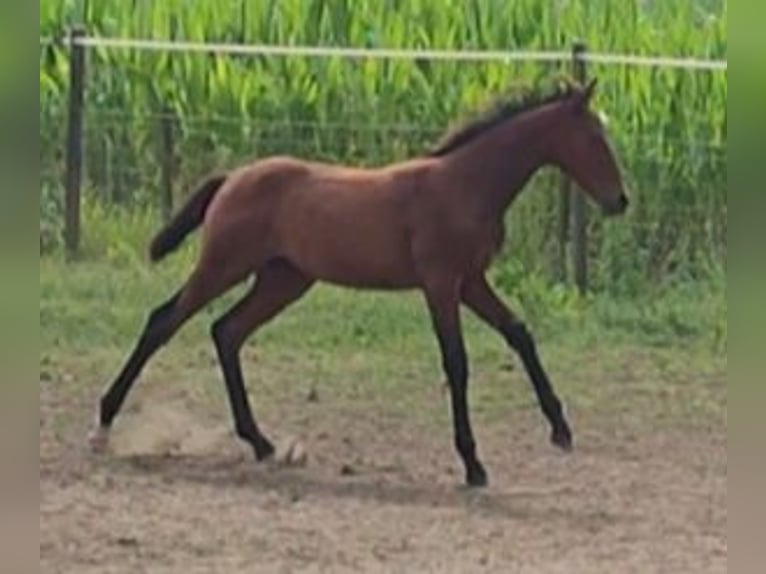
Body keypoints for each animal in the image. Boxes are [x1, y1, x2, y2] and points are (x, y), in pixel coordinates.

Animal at [90, 79, 632, 488]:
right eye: (594, 138)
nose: (620, 201)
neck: (465, 183)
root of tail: (231, 178)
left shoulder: (471, 281)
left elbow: (520, 333)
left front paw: (560, 429)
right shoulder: (440, 282)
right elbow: (456, 362)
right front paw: (473, 464)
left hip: (284, 279)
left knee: (227, 331)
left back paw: (261, 442)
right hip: (224, 265)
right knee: (164, 320)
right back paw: (103, 422)